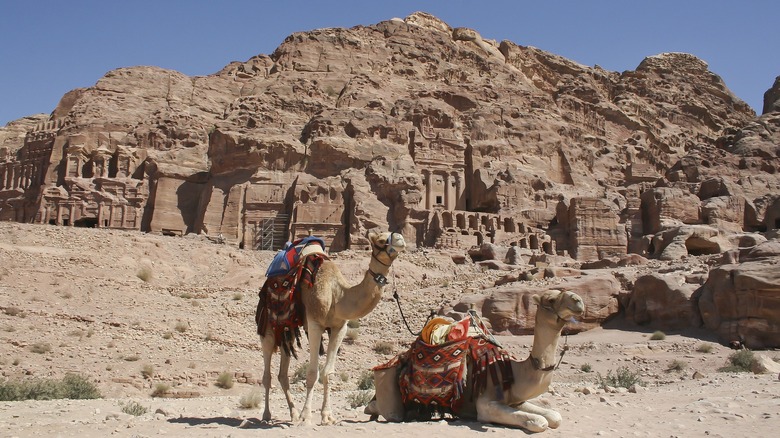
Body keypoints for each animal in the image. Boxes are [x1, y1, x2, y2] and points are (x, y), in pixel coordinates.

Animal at [262, 229, 408, 424]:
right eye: (381, 240)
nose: (400, 238)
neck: (337, 295)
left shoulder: (339, 327)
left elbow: (328, 373)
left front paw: (327, 416)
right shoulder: (315, 324)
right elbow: (312, 373)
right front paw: (306, 416)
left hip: (288, 328)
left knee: (282, 372)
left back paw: (293, 414)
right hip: (268, 325)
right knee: (267, 372)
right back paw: (267, 415)